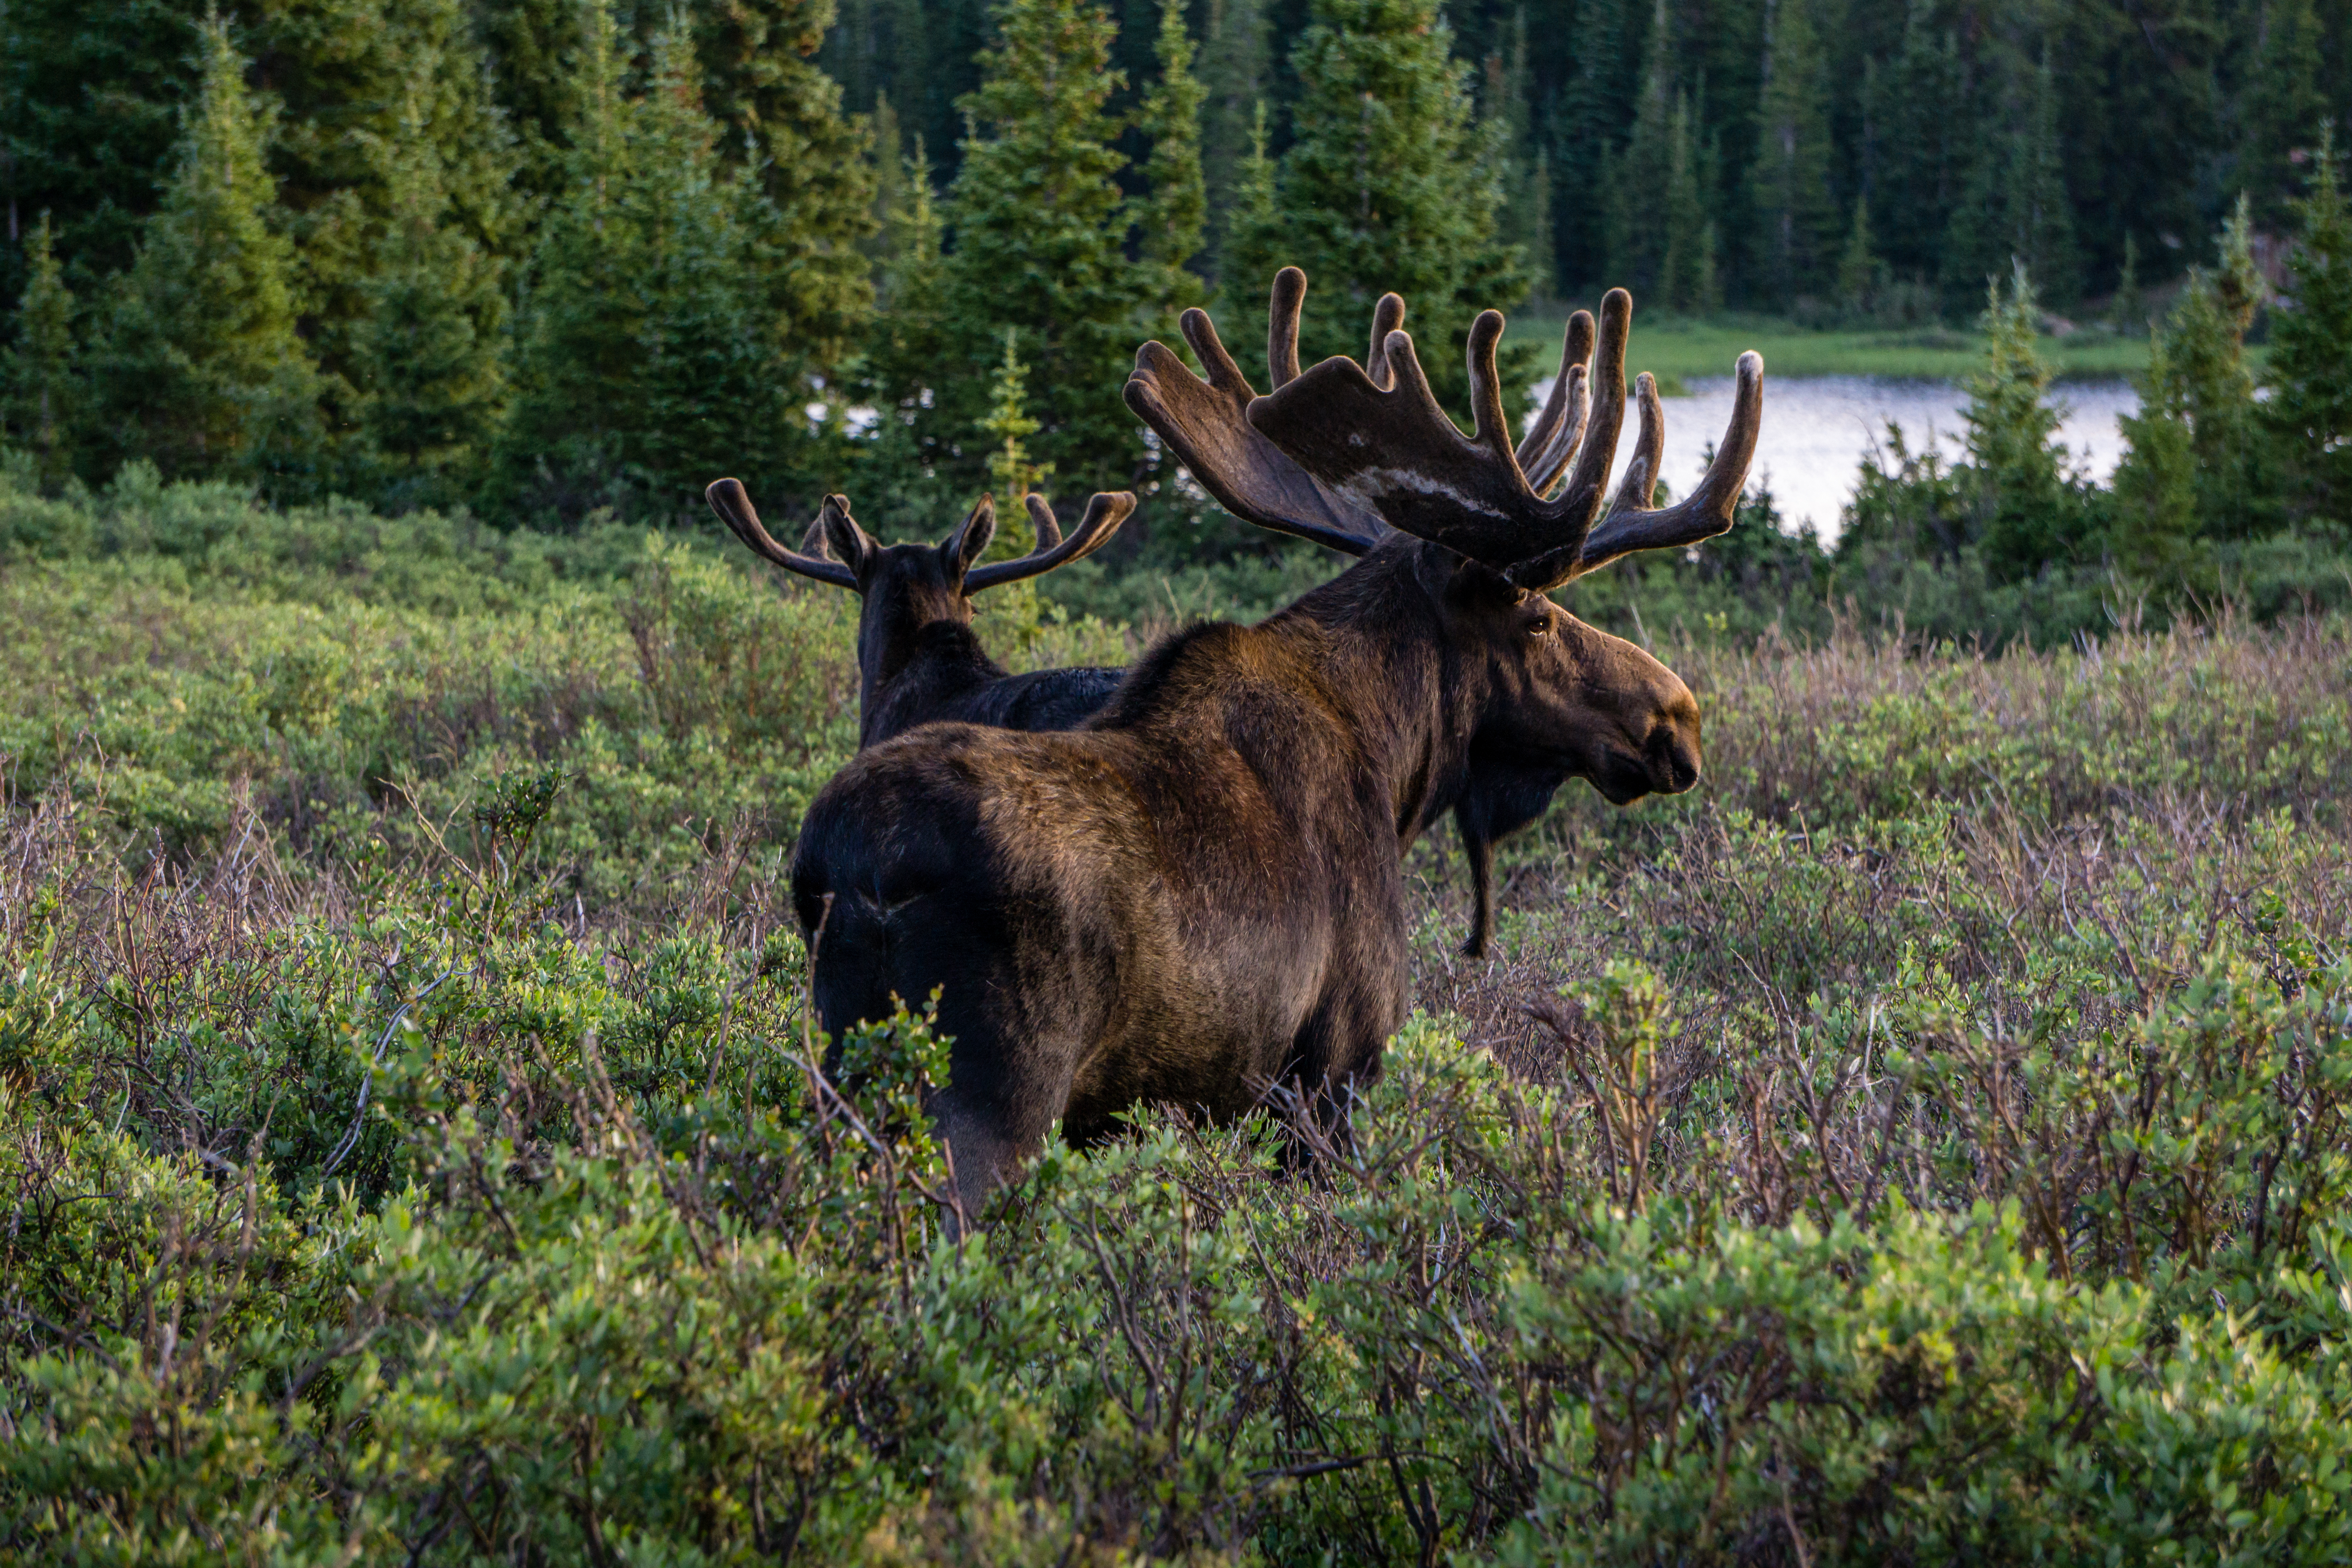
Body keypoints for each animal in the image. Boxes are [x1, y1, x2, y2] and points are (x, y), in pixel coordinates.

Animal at [790, 273, 1762, 1214]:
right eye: (1535, 614)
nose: (1676, 715)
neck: (1397, 765)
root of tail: (851, 869)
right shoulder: (1334, 1069)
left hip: (841, 1075)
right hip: (989, 1090)